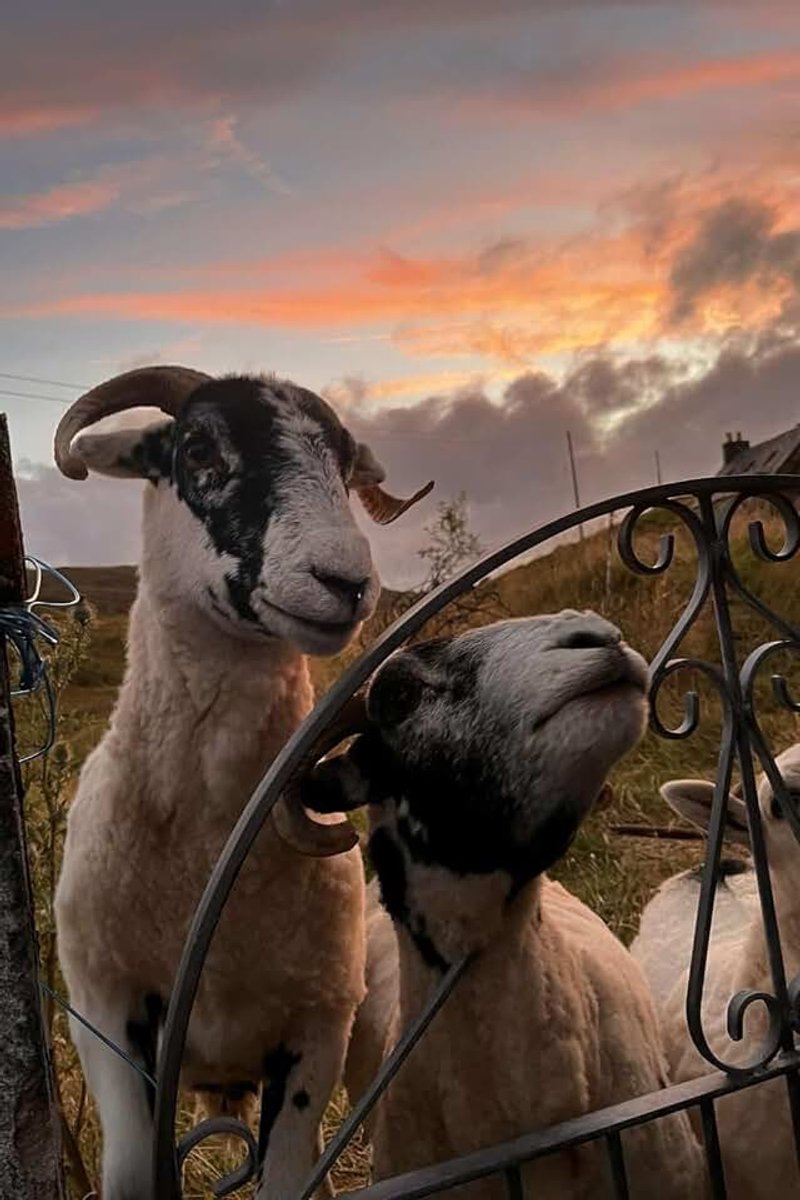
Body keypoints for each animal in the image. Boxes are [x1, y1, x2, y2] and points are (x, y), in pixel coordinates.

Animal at [51, 365, 432, 1200]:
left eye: (343, 469)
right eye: (198, 448)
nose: (347, 582)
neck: (208, 846)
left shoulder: (316, 1026)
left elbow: (289, 1178)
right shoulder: (107, 1012)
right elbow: (131, 1175)